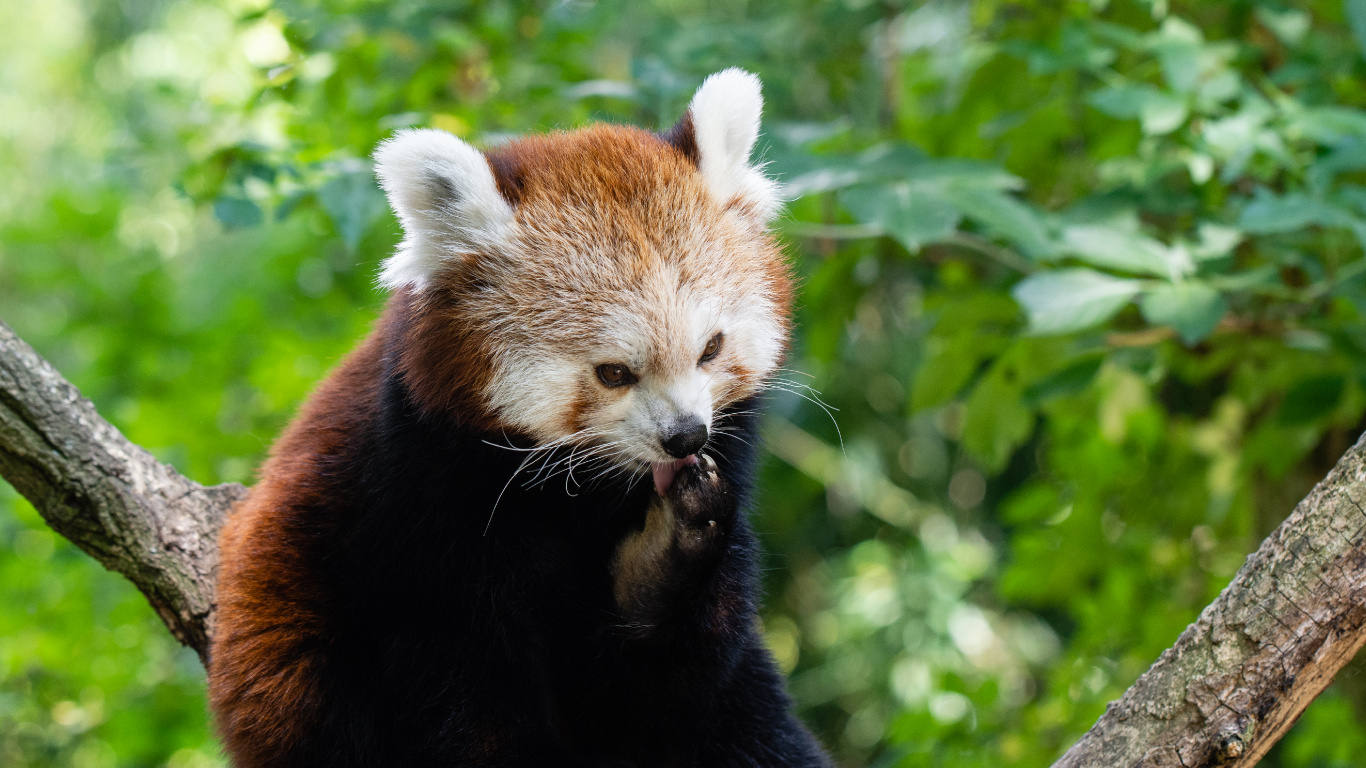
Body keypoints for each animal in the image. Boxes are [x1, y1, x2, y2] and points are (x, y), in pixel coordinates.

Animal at [208, 68, 834, 768]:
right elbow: (467, 690)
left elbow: (672, 681)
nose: (684, 436)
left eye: (711, 349)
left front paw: (668, 548)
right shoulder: (420, 500)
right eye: (613, 373)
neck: (581, 493)